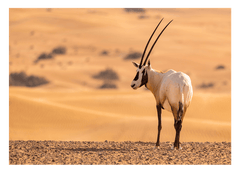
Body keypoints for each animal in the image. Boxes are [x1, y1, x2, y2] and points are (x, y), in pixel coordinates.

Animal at [131, 18, 193, 149]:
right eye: (136, 70)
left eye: (142, 71)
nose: (133, 84)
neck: (159, 79)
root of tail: (182, 83)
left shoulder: (158, 104)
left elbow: (159, 124)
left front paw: (157, 144)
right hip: (185, 106)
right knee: (180, 123)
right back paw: (177, 145)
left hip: (175, 105)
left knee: (177, 123)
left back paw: (174, 146)